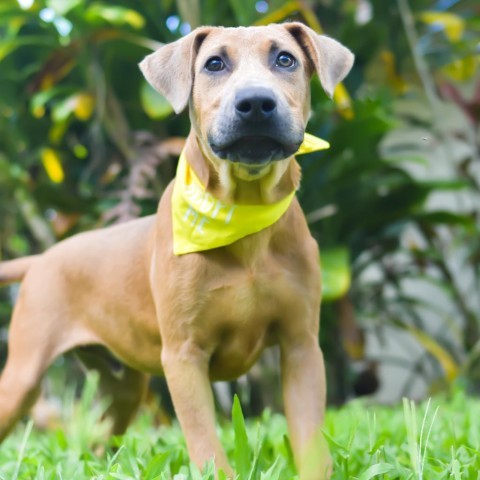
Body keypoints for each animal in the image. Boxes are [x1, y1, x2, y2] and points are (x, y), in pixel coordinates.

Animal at [0, 23, 352, 480]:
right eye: (214, 64)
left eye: (285, 59)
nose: (256, 103)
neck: (243, 214)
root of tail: (42, 259)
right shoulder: (183, 355)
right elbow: (206, 444)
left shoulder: (301, 345)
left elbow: (310, 439)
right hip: (23, 375)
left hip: (124, 385)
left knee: (101, 438)